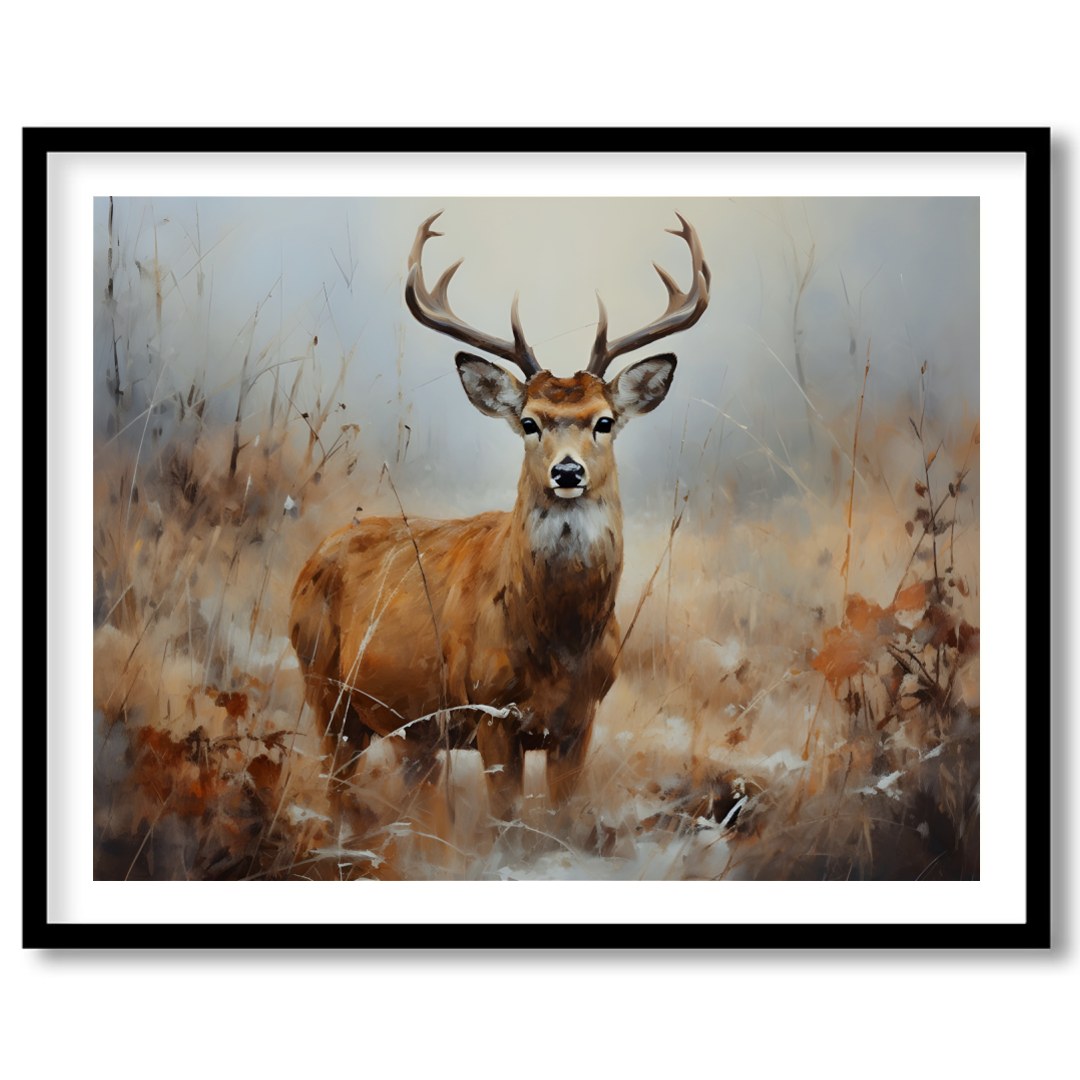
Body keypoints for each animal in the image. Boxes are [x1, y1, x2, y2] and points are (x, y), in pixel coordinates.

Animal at [290, 211, 710, 820]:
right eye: (530, 421)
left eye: (604, 421)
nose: (567, 472)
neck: (558, 645)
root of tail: (310, 561)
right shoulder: (491, 713)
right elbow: (504, 819)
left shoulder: (580, 722)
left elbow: (565, 817)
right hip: (325, 689)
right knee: (336, 792)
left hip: (409, 729)